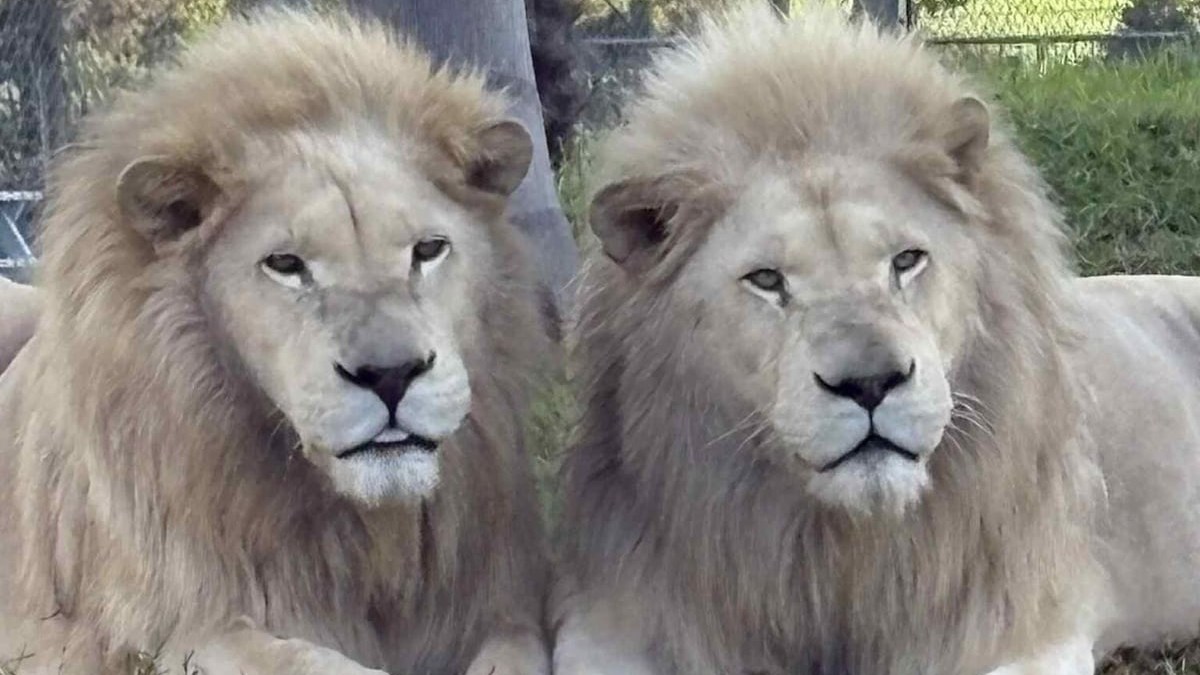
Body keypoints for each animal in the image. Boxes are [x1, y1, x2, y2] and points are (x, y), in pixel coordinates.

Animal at [0, 10, 552, 675]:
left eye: (428, 249)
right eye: (286, 264)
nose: (391, 375)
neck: (370, 537)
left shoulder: (503, 607)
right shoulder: (180, 629)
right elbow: (314, 663)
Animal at [552, 6, 1200, 675]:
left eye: (907, 261)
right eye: (767, 280)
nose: (869, 384)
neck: (841, 552)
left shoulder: (1023, 627)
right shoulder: (616, 614)